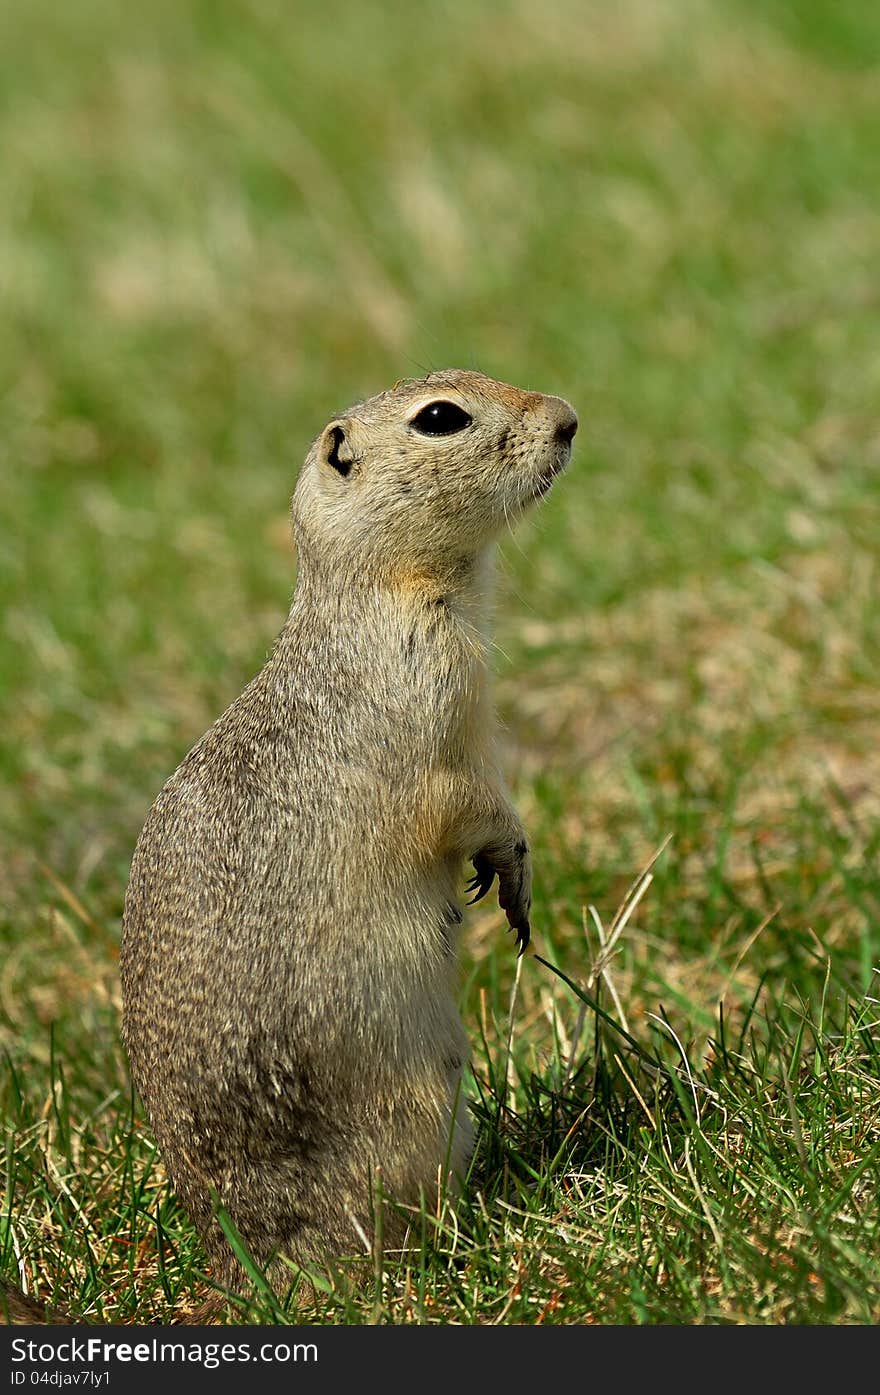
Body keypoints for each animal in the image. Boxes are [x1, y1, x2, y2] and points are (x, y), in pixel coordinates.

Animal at [118, 368, 577, 1294]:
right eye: (440, 417)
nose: (570, 421)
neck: (379, 589)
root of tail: (241, 1270)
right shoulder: (436, 700)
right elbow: (467, 801)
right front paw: (513, 865)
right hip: (421, 1113)